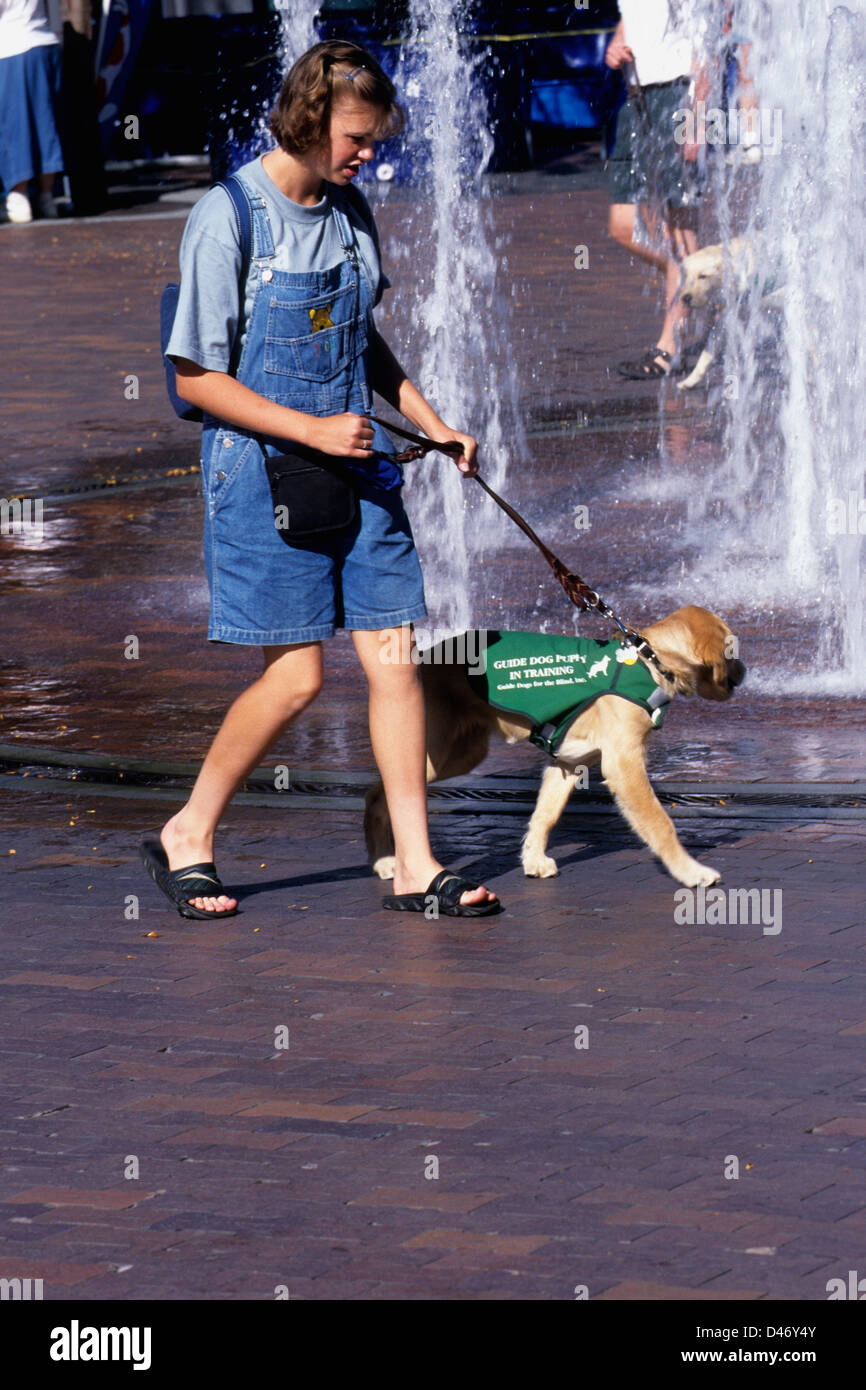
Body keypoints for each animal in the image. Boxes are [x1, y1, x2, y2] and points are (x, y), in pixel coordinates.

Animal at [366, 606, 745, 889]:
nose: (746, 670)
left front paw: (533, 859)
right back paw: (383, 859)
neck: (649, 660)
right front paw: (691, 872)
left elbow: (545, 814)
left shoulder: (567, 762)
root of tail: (424, 659)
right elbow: (659, 822)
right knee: (379, 791)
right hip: (431, 751)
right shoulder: (623, 764)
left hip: (463, 754)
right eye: (732, 651)